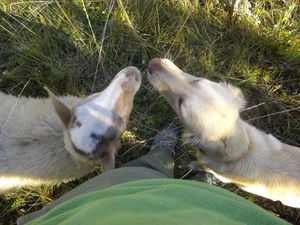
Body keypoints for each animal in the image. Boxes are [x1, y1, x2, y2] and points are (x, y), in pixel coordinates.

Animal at [147, 57, 300, 207]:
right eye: (197, 80)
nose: (153, 63)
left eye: (180, 104)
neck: (243, 151)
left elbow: (203, 166)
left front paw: (194, 166)